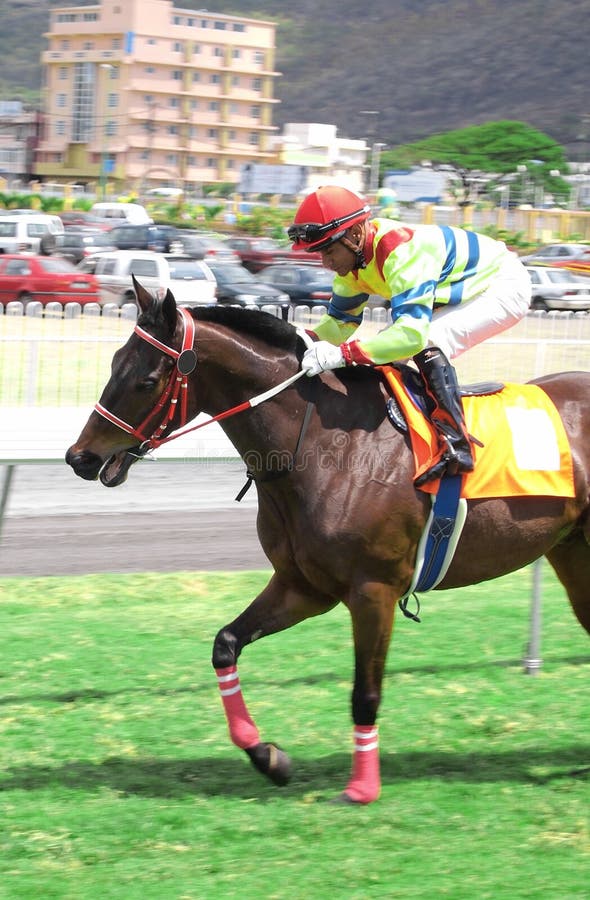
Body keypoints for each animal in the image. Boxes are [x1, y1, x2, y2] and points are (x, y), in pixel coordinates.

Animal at [66, 282, 590, 800]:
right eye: (114, 363)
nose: (80, 458)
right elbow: (225, 644)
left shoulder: (374, 590)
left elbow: (365, 694)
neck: (324, 446)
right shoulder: (303, 586)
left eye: (148, 380)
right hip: (571, 555)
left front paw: (361, 788)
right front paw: (268, 757)